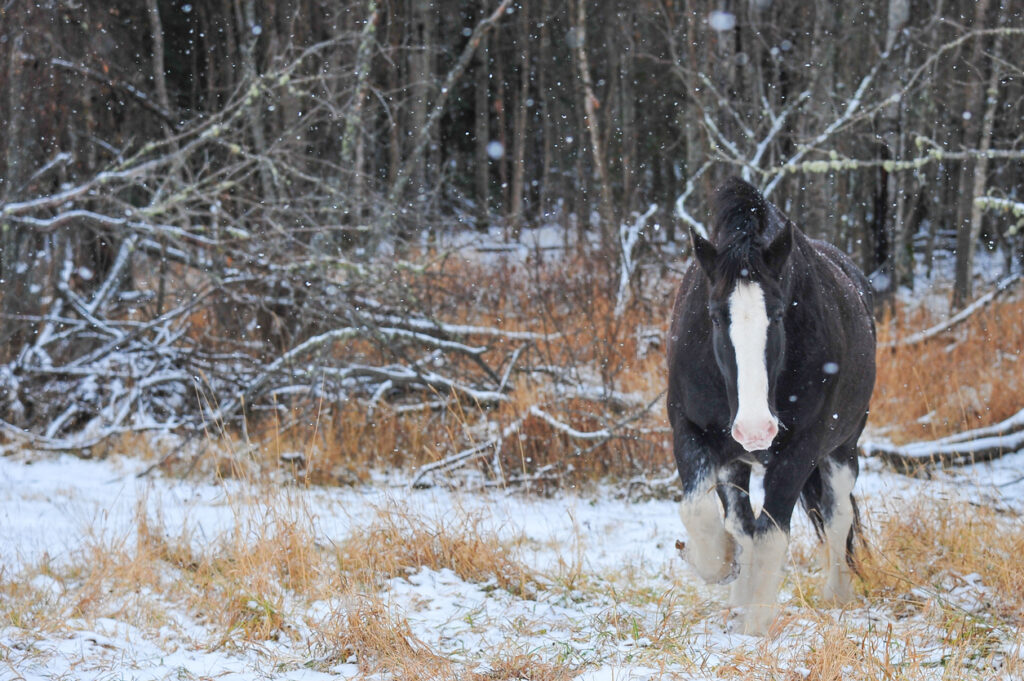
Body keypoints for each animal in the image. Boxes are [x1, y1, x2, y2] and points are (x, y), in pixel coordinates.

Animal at [667, 178, 876, 634]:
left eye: (779, 315)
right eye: (713, 317)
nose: (755, 429)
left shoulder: (800, 450)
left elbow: (772, 535)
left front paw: (754, 627)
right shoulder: (692, 432)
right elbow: (700, 512)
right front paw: (722, 565)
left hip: (842, 450)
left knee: (836, 517)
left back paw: (837, 594)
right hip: (737, 459)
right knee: (742, 522)